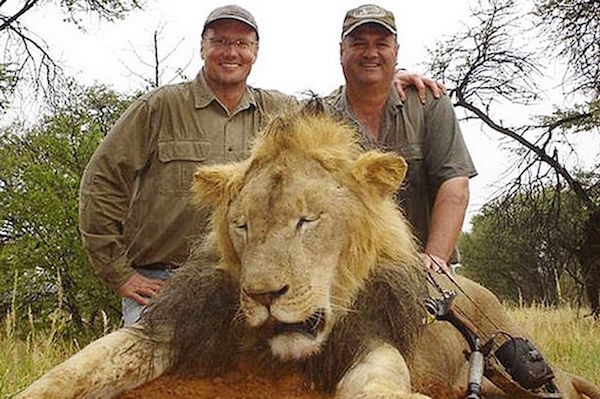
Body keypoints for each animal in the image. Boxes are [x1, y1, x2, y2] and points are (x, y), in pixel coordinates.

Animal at [16, 110, 600, 399]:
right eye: (243, 225)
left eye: (307, 220)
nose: (263, 295)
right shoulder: (168, 328)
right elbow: (70, 373)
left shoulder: (370, 337)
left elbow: (380, 384)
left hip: (516, 355)